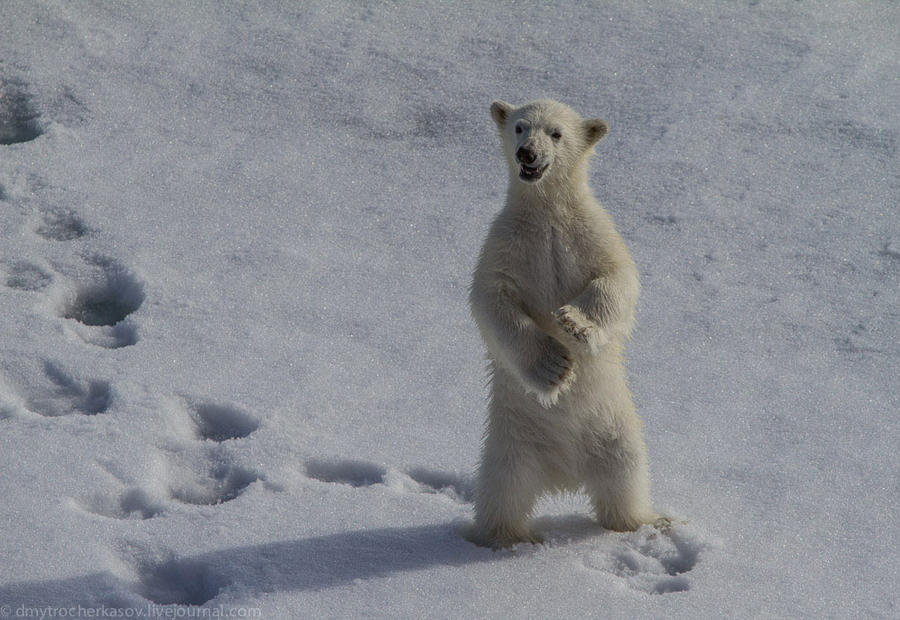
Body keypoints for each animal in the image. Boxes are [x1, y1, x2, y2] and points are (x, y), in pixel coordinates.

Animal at [468, 98, 656, 548]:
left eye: (556, 133)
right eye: (520, 127)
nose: (527, 155)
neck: (547, 210)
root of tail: (564, 474)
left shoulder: (591, 233)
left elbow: (617, 278)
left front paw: (575, 324)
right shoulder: (506, 244)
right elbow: (492, 300)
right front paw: (554, 368)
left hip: (617, 433)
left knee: (627, 479)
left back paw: (641, 524)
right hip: (511, 445)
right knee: (503, 494)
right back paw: (505, 539)